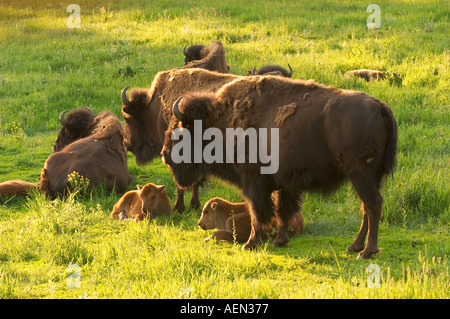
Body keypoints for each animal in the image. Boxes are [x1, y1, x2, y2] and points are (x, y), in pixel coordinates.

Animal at [118, 68, 239, 212]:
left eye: (127, 118)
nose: (126, 144)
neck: (157, 108)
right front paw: (194, 205)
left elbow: (180, 184)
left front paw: (179, 207)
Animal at [161, 75, 398, 260]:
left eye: (178, 130)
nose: (164, 154)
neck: (221, 121)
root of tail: (381, 107)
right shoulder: (285, 183)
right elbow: (282, 210)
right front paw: (280, 241)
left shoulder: (253, 182)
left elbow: (258, 212)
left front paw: (250, 244)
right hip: (370, 177)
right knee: (366, 207)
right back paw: (354, 247)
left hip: (360, 174)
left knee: (373, 204)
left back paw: (366, 252)